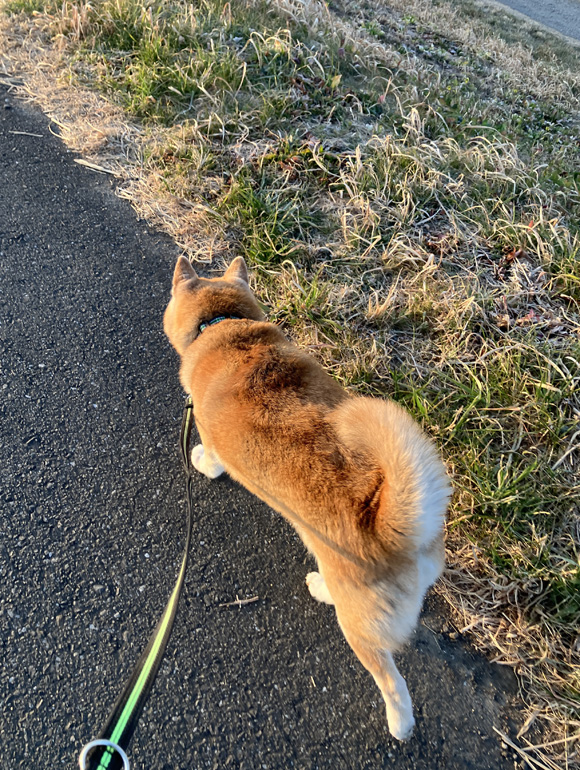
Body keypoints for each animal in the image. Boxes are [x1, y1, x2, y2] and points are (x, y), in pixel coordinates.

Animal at [164, 255, 451, 740]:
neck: (224, 326)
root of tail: (390, 530)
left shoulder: (210, 435)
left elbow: (210, 460)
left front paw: (200, 461)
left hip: (359, 626)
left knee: (392, 683)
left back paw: (400, 724)